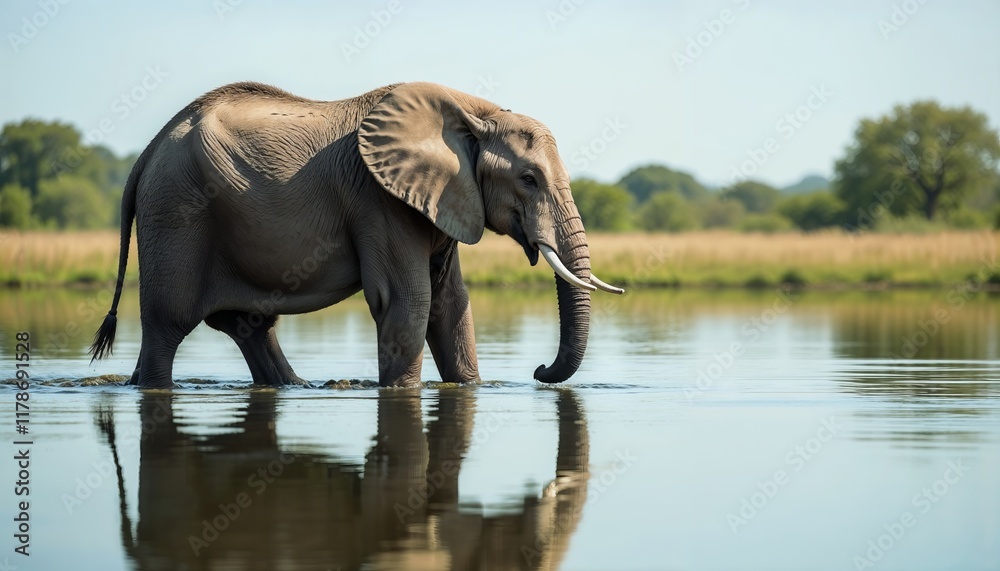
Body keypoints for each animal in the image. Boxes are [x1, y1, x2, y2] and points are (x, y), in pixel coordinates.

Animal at [88, 81, 622, 387]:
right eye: (529, 179)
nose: (538, 372)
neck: (475, 113)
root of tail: (149, 150)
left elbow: (451, 307)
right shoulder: (379, 200)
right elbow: (409, 304)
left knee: (250, 328)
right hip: (176, 213)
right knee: (168, 324)